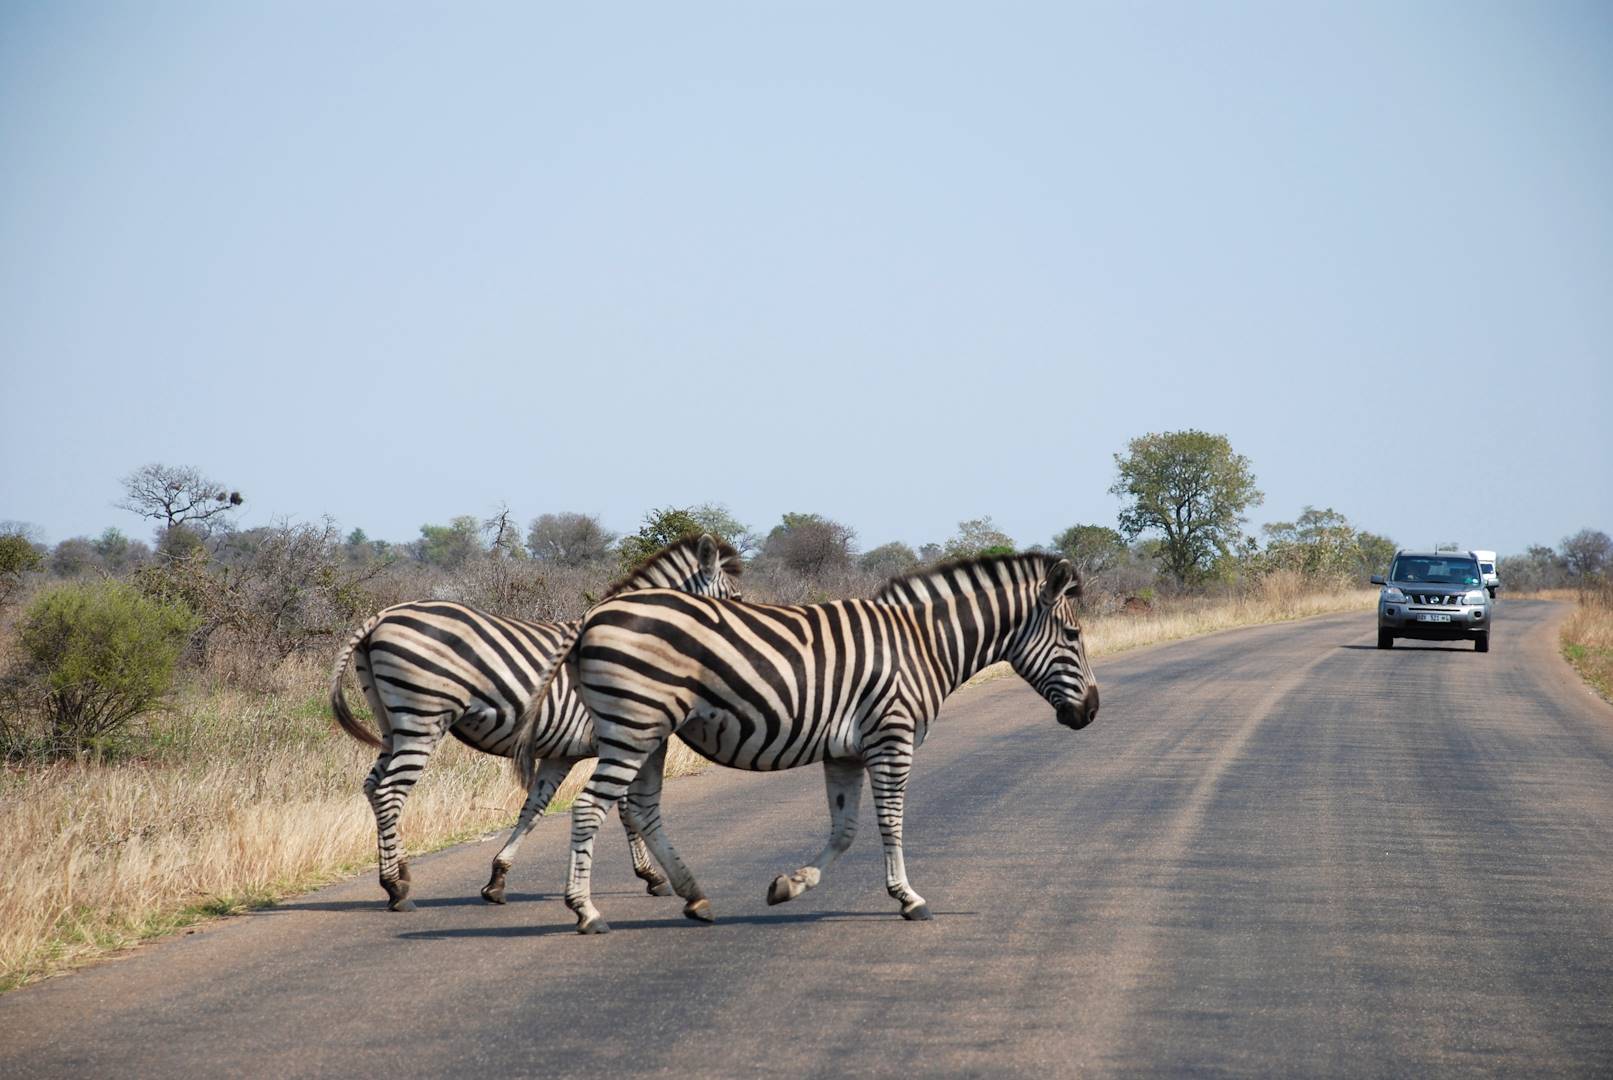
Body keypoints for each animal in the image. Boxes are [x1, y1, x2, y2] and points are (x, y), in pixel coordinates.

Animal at [335, 538, 748, 909]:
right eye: (737, 601)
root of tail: (381, 616)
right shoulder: (624, 740)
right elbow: (626, 809)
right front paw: (653, 877)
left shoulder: (563, 752)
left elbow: (533, 809)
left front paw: (497, 879)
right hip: (421, 719)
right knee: (390, 792)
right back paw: (396, 889)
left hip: (390, 724)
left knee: (372, 786)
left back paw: (399, 872)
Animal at [516, 554, 1096, 934]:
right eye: (1073, 637)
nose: (1090, 712)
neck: (922, 644)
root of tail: (595, 615)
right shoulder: (892, 736)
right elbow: (890, 823)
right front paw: (910, 898)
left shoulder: (845, 752)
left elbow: (845, 830)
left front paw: (788, 886)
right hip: (633, 726)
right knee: (590, 808)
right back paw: (587, 911)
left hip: (650, 732)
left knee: (643, 807)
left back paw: (696, 898)